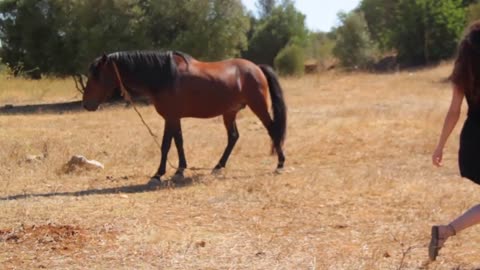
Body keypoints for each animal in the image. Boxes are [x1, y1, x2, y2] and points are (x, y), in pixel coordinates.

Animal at [82, 51, 286, 180]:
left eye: (96, 76)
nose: (86, 104)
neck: (165, 76)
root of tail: (256, 67)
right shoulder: (172, 117)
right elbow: (177, 141)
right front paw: (179, 169)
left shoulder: (171, 117)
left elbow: (166, 144)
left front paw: (158, 174)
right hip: (229, 112)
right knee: (233, 137)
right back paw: (218, 166)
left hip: (258, 106)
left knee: (272, 130)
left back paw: (280, 164)